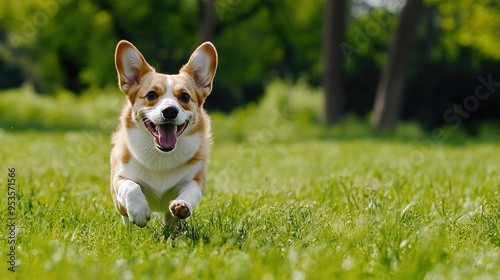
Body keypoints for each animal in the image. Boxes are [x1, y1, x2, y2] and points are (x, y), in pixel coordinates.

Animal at [111, 40, 217, 228]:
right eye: (151, 94)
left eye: (185, 97)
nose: (170, 111)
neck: (161, 156)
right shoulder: (118, 180)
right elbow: (131, 186)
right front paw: (139, 212)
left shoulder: (197, 179)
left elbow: (191, 191)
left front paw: (182, 205)